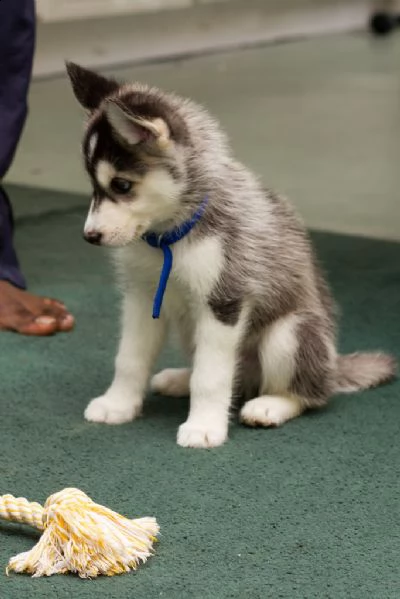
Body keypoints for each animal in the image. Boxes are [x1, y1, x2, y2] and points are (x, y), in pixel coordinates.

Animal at [65, 63, 394, 448]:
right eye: (93, 186)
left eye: (121, 185)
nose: (90, 236)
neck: (168, 237)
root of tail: (333, 367)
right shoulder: (143, 296)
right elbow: (129, 358)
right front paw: (117, 404)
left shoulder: (224, 301)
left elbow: (210, 377)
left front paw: (204, 426)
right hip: (191, 329)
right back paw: (179, 379)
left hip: (289, 334)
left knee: (307, 394)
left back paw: (270, 406)